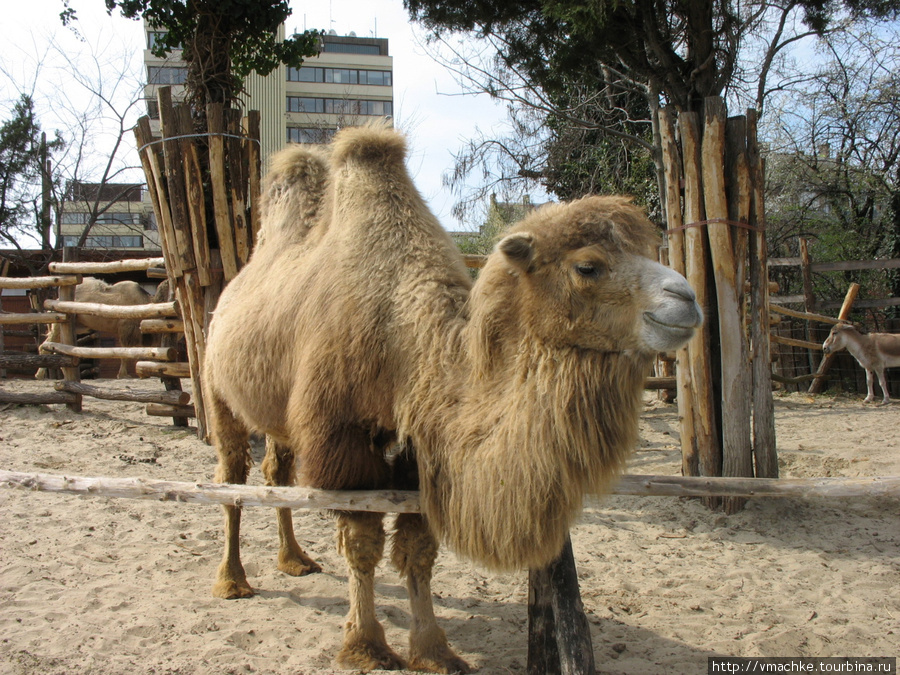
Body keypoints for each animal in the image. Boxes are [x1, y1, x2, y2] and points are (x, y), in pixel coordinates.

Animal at [204, 124, 704, 672]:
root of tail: (228, 293)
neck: (407, 344)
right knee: (230, 479)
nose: (687, 299)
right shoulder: (342, 444)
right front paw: (367, 646)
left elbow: (418, 550)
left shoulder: (420, 453)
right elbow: (362, 546)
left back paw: (293, 560)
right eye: (588, 266)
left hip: (275, 412)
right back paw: (232, 581)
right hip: (217, 388)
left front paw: (433, 650)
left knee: (276, 472)